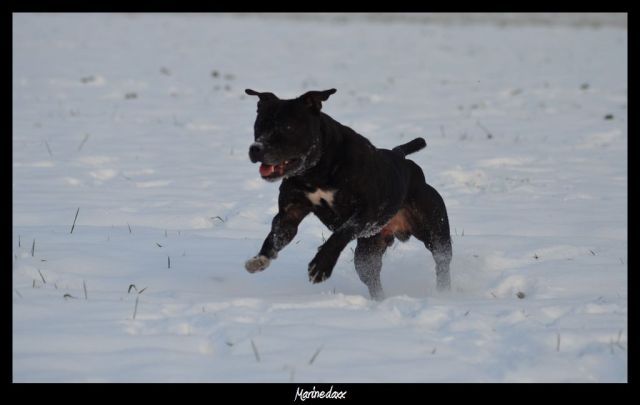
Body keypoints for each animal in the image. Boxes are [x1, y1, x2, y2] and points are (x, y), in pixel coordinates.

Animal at [242, 88, 452, 298]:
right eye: (259, 125)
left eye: (287, 127)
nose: (256, 148)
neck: (316, 171)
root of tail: (401, 157)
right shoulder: (289, 215)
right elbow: (274, 237)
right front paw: (260, 258)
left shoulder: (367, 212)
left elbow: (341, 233)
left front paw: (321, 265)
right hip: (367, 252)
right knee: (371, 276)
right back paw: (379, 300)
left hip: (436, 232)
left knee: (442, 261)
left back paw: (443, 293)